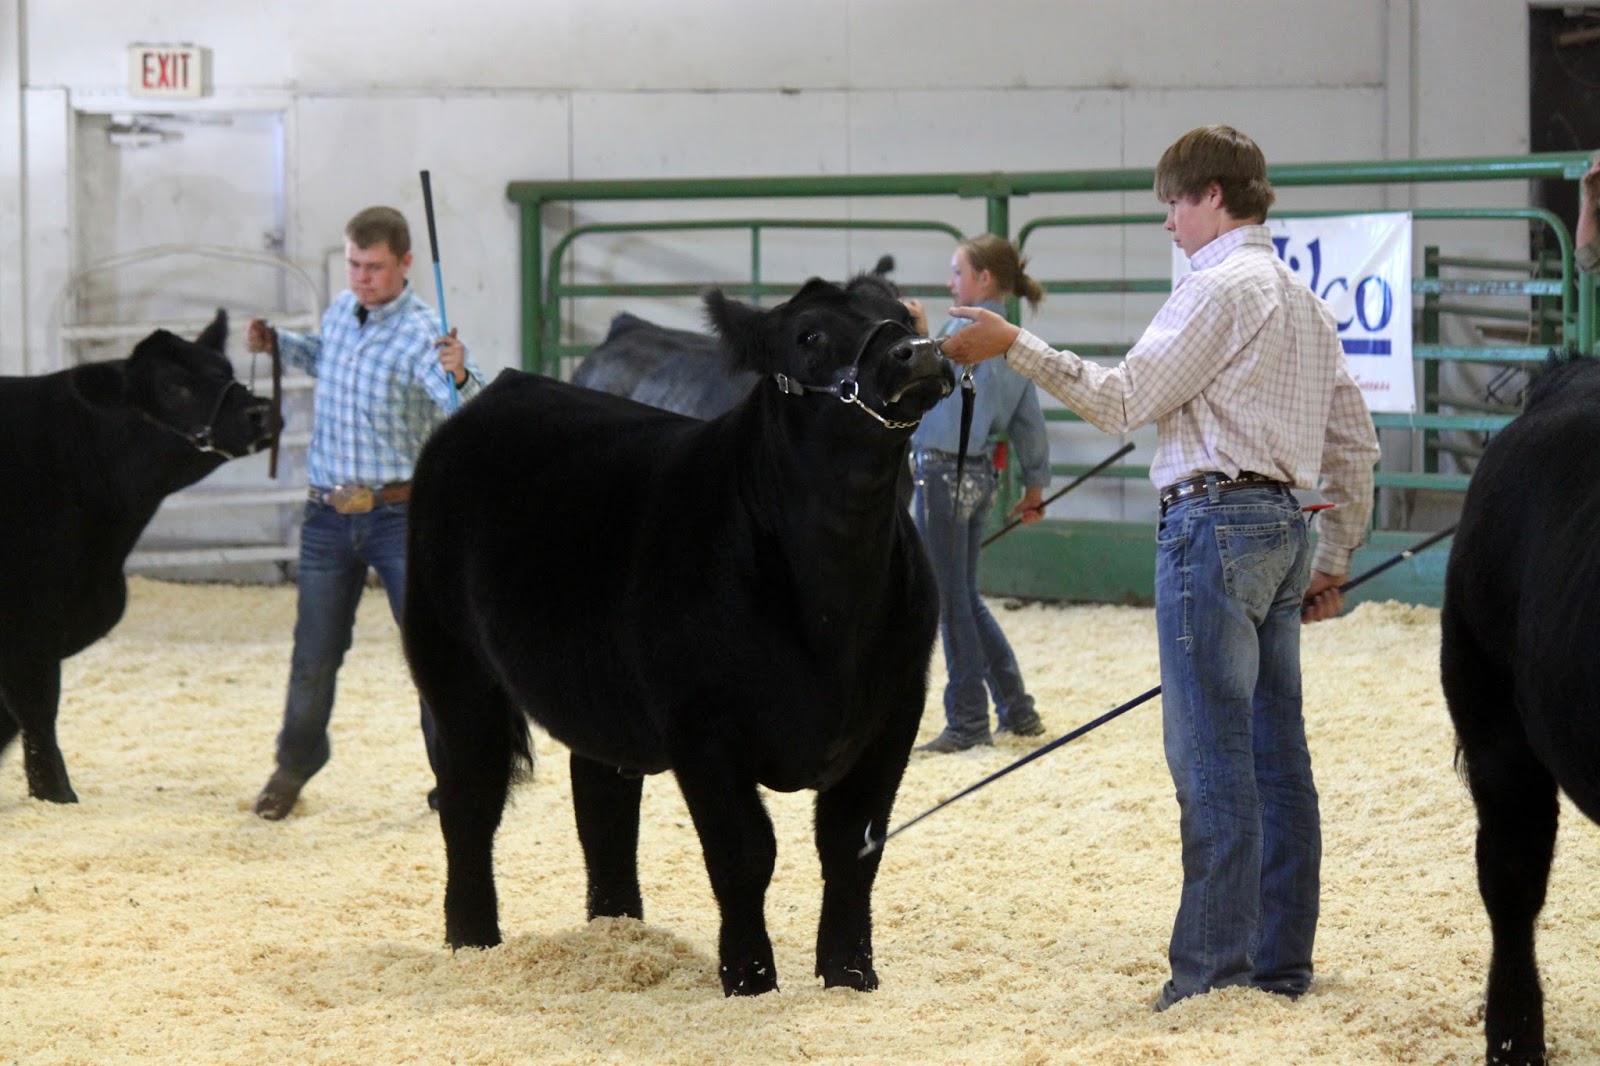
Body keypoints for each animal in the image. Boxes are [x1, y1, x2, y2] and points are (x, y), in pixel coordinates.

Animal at [0, 311, 276, 803]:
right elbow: (36, 716)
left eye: (226, 368)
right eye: (173, 386)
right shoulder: (27, 627)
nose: (260, 413)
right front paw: (57, 796)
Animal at [402, 271, 954, 996]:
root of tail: (501, 390)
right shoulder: (704, 727)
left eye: (900, 314)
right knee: (471, 798)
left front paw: (850, 973)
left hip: (597, 692)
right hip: (453, 667)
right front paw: (750, 978)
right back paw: (472, 940)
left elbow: (853, 844)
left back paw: (617, 930)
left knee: (602, 803)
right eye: (808, 335)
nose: (916, 352)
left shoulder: (895, 714)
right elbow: (745, 852)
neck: (832, 609)